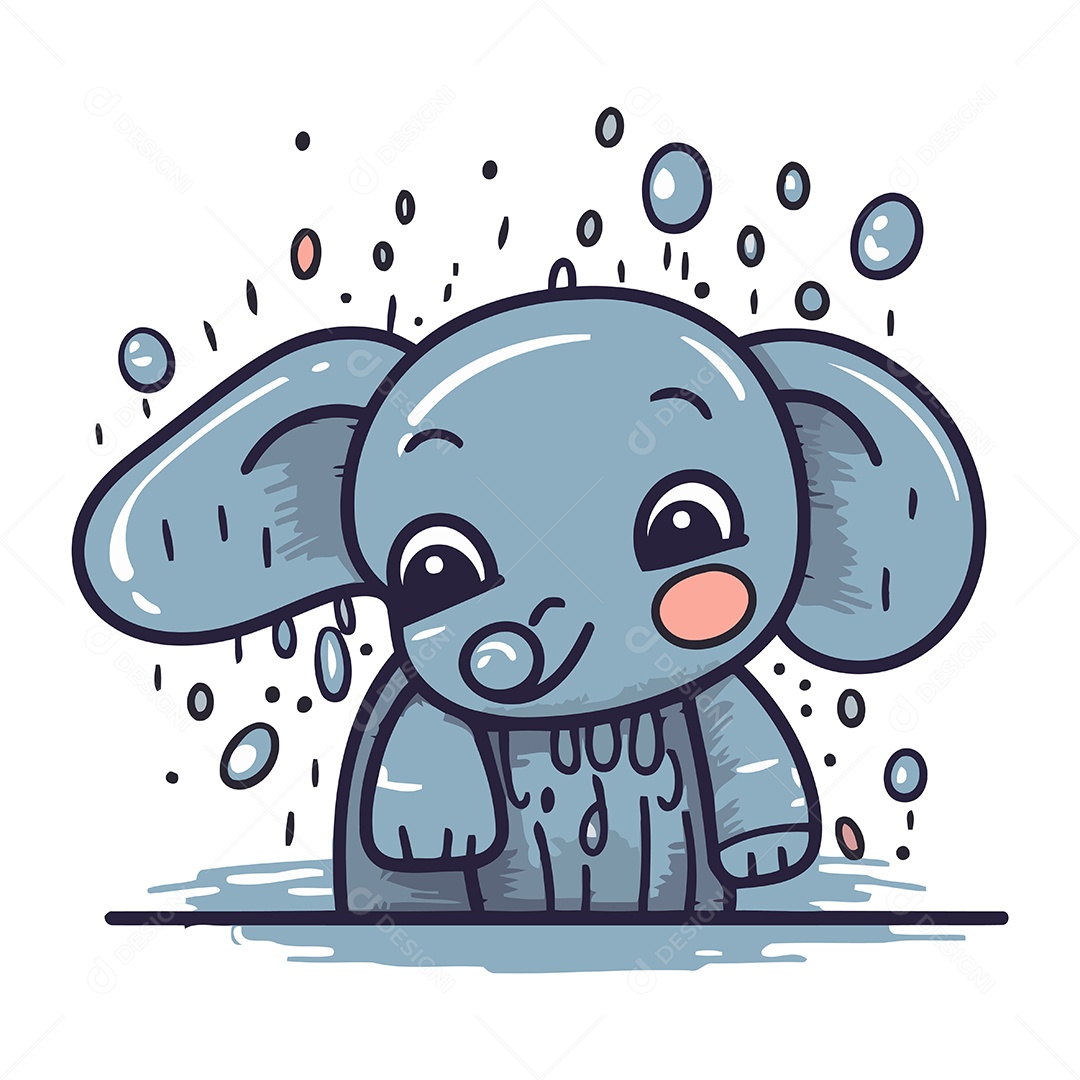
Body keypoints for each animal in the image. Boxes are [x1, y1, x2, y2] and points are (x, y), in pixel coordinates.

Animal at [73, 275, 985, 919]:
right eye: (435, 571)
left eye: (687, 524)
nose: (520, 643)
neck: (583, 723)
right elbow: (423, 729)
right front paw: (430, 832)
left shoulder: (717, 696)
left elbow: (748, 736)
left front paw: (769, 852)